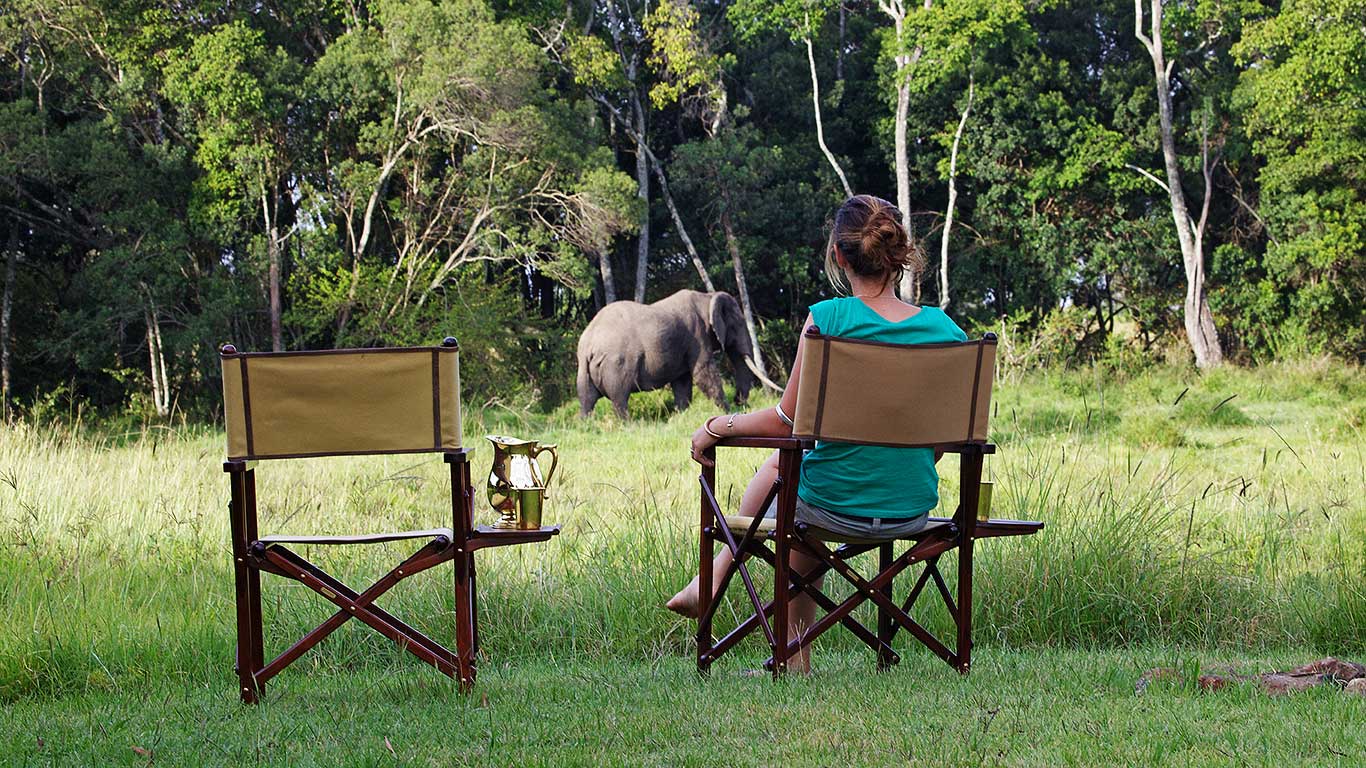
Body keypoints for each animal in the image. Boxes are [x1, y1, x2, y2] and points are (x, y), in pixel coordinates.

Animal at [576, 290, 773, 419]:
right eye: (738, 324)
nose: (742, 404)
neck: (708, 297)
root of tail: (588, 345)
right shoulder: (697, 336)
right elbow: (703, 373)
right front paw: (729, 412)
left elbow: (682, 382)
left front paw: (680, 417)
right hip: (616, 365)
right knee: (620, 398)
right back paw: (630, 426)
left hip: (584, 370)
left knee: (587, 400)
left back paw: (588, 425)